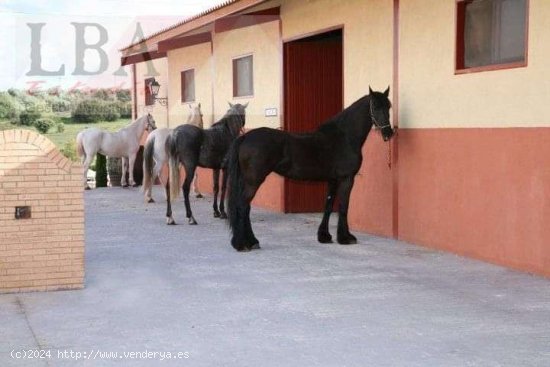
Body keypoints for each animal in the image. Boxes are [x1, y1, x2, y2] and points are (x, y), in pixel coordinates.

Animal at [227, 86, 396, 253]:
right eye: (375, 106)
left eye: (388, 106)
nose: (388, 133)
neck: (344, 137)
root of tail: (245, 137)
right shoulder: (346, 178)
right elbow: (343, 206)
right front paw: (345, 238)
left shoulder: (333, 180)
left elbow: (329, 205)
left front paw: (324, 236)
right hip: (254, 181)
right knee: (242, 206)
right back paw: (242, 244)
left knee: (246, 208)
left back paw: (252, 242)